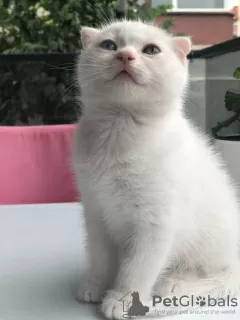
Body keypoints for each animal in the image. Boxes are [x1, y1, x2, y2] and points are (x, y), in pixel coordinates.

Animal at [72, 20, 240, 320]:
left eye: (151, 50)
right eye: (109, 45)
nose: (125, 55)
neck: (120, 132)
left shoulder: (156, 222)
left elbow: (138, 267)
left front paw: (122, 299)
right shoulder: (95, 210)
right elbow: (100, 255)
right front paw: (95, 284)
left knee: (210, 272)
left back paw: (173, 283)